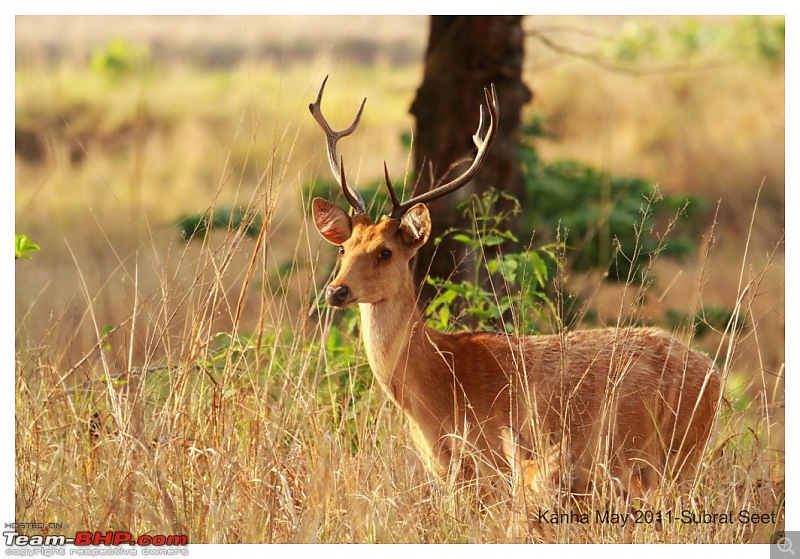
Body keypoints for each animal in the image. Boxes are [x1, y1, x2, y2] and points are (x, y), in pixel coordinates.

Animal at [308, 76, 724, 520]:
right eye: (344, 247)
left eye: (385, 251)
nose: (336, 290)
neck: (435, 382)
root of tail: (715, 375)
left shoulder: (490, 456)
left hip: (664, 453)